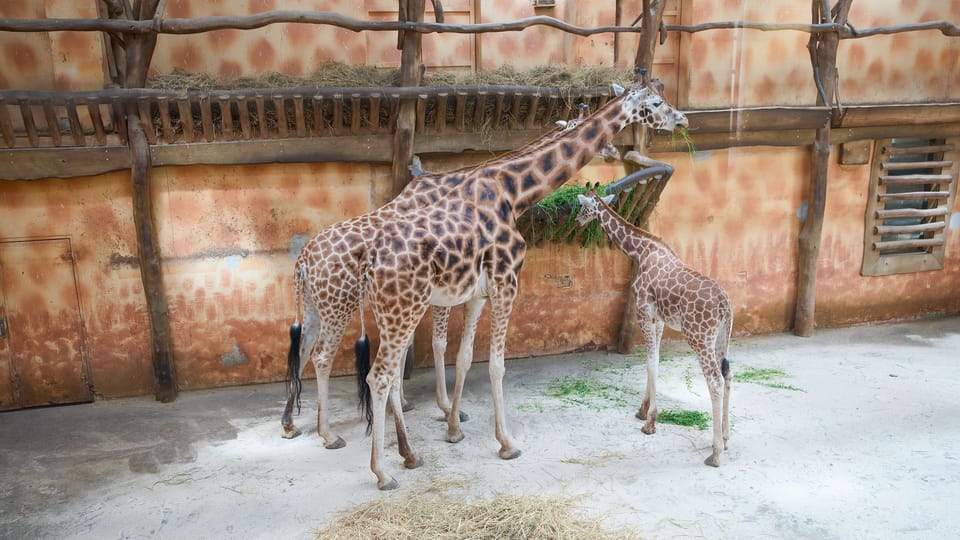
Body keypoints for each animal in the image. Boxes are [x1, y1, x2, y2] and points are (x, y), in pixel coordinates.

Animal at [281, 104, 605, 447]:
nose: (605, 154)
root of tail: (302, 260)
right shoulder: (441, 290)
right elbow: (438, 343)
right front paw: (447, 409)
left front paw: (414, 406)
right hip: (338, 308)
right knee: (322, 356)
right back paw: (329, 434)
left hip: (318, 305)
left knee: (303, 348)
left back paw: (289, 424)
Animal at [350, 79, 688, 489]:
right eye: (655, 102)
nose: (682, 119)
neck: (514, 192)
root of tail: (370, 262)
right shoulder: (506, 281)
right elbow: (495, 366)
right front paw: (506, 443)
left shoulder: (478, 293)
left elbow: (465, 357)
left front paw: (454, 428)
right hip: (407, 307)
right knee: (380, 375)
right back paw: (383, 471)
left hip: (394, 311)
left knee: (390, 370)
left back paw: (408, 453)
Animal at [574, 186, 733, 467]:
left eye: (583, 207)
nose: (577, 220)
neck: (640, 251)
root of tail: (725, 304)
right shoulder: (658, 318)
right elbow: (654, 360)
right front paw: (643, 411)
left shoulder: (644, 312)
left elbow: (650, 362)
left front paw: (650, 422)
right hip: (722, 336)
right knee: (727, 374)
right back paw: (725, 439)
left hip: (699, 336)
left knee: (714, 380)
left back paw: (714, 454)